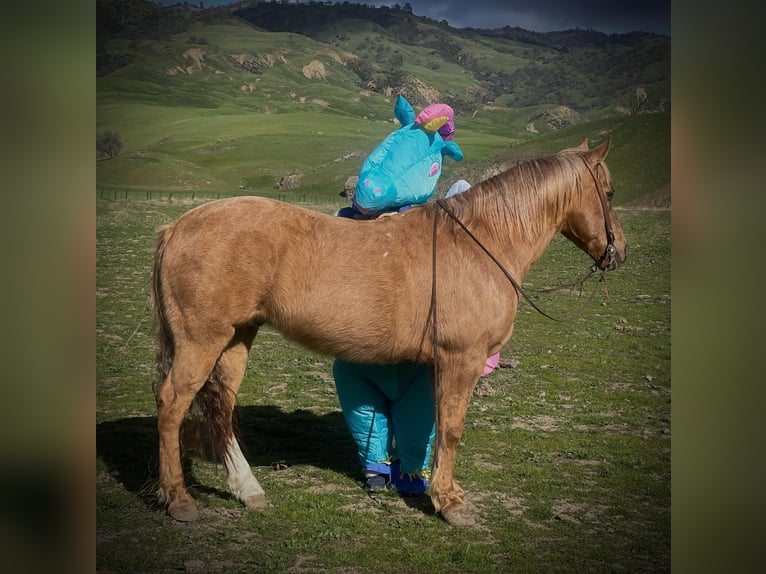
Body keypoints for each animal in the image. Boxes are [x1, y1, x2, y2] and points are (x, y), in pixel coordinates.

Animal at [152, 137, 632, 528]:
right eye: (609, 192)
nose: (620, 252)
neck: (480, 242)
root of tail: (177, 227)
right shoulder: (462, 359)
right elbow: (451, 429)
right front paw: (449, 502)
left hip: (236, 338)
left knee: (220, 406)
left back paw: (247, 489)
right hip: (203, 340)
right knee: (172, 404)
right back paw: (179, 499)